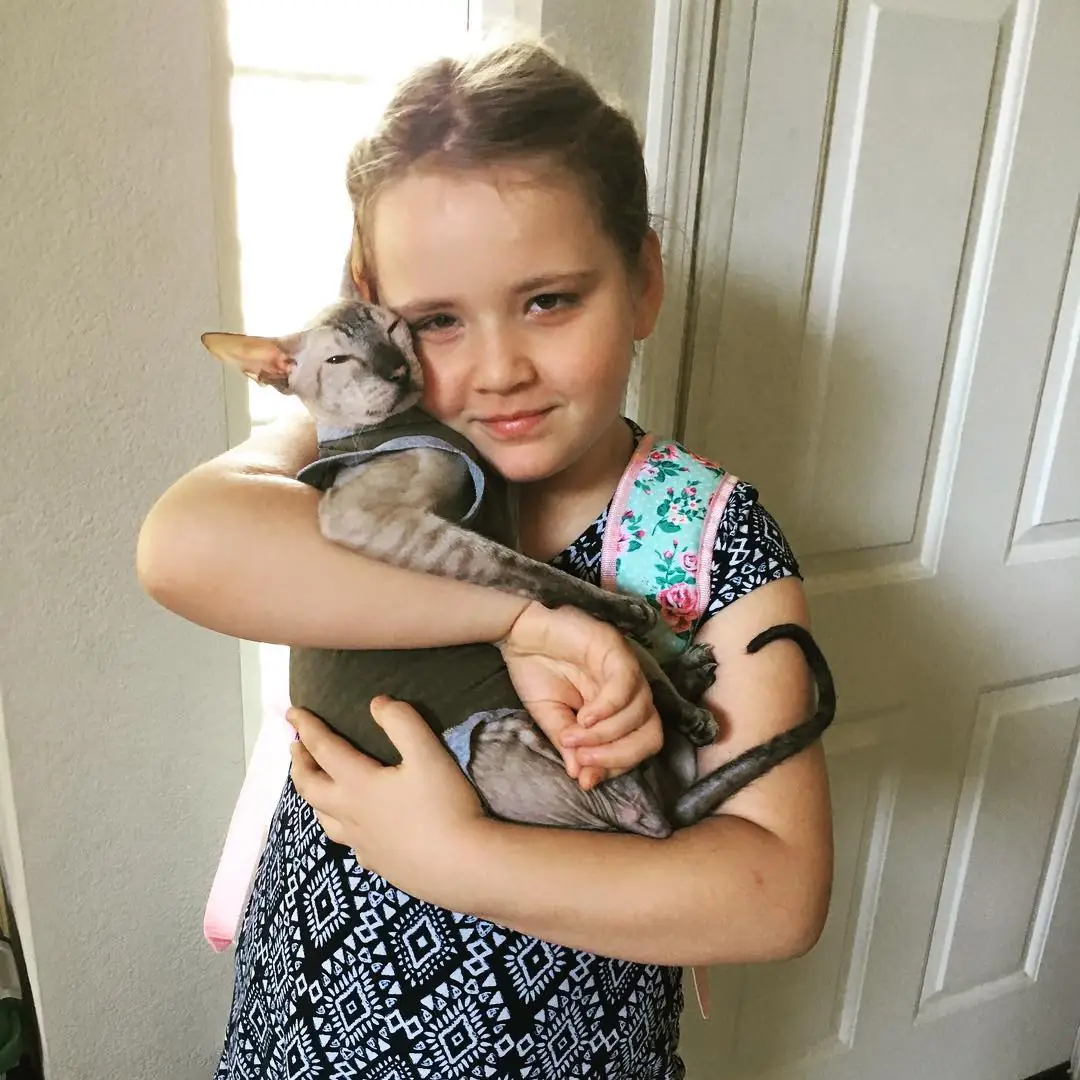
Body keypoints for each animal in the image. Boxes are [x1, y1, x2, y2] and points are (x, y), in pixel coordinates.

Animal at [201, 297, 835, 838]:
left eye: (394, 329)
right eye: (338, 360)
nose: (397, 370)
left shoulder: (486, 506)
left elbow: (527, 561)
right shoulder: (375, 521)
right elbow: (525, 569)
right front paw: (620, 607)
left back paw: (689, 678)